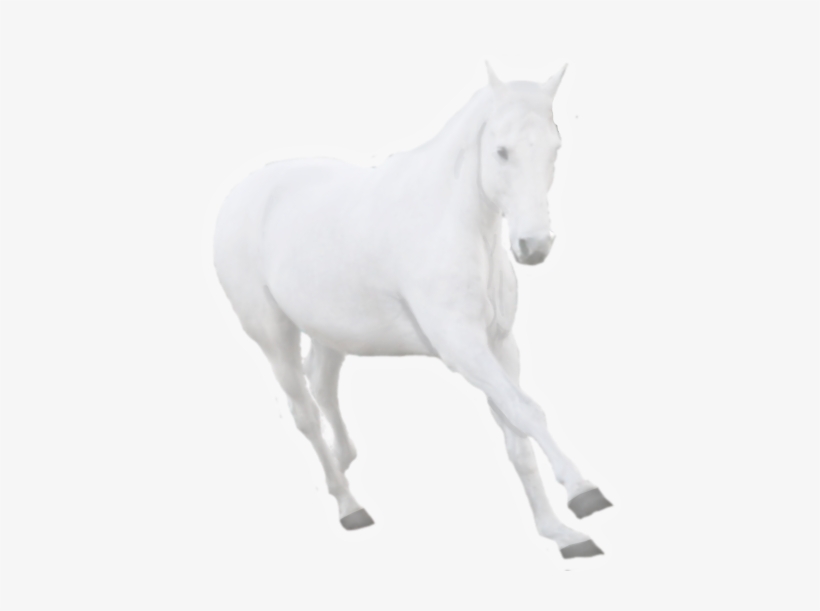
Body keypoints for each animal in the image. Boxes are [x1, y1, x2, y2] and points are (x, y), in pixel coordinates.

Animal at [213, 63, 612, 559]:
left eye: (556, 146)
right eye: (501, 151)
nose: (534, 246)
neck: (453, 227)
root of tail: (242, 193)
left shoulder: (499, 346)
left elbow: (516, 435)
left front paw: (562, 534)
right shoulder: (463, 349)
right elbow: (527, 413)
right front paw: (584, 493)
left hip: (330, 332)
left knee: (322, 387)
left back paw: (345, 462)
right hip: (272, 334)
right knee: (304, 411)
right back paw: (349, 506)